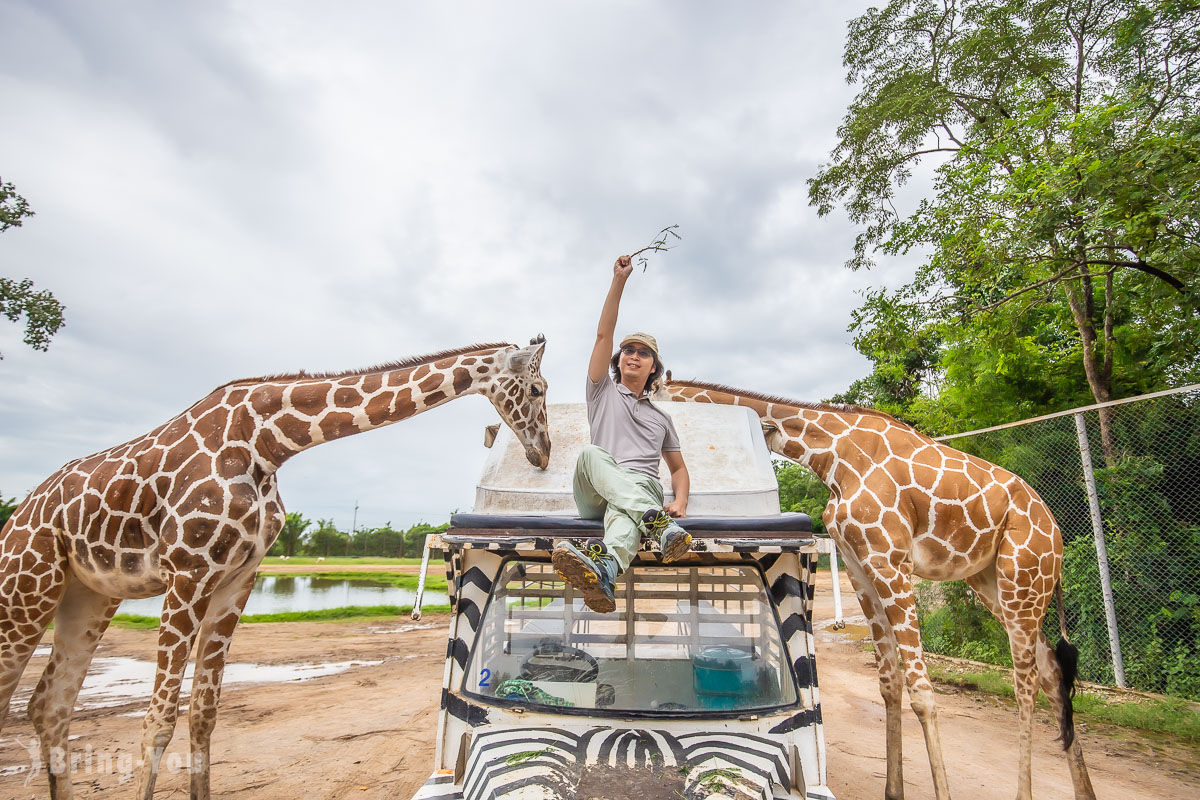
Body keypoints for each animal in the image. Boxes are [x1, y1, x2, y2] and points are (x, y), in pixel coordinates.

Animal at [0, 340, 552, 800]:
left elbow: (203, 714)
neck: (267, 442)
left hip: (89, 595)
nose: (544, 453)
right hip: (26, 590)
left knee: (49, 705)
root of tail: (17, 517)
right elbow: (157, 721)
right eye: (538, 388)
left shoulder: (236, 579)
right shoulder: (187, 571)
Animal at [662, 376, 1094, 800]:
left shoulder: (890, 561)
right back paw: (1084, 792)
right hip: (992, 582)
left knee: (1026, 684)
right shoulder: (861, 566)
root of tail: (1055, 529)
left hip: (1023, 577)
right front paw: (893, 790)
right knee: (1052, 673)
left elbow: (922, 691)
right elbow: (889, 682)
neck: (831, 455)